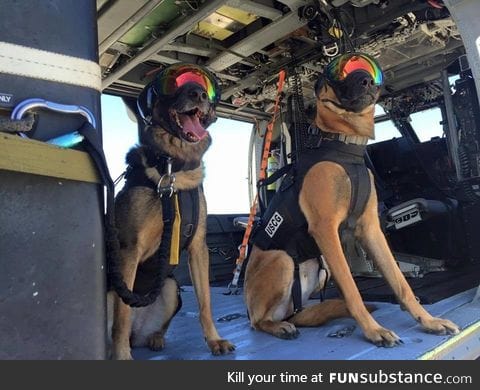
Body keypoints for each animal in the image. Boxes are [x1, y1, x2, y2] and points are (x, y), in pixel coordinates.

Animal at [109, 63, 236, 360]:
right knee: (120, 322)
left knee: (154, 329)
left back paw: (155, 338)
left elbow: (205, 303)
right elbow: (121, 316)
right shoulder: (128, 251)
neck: (173, 170)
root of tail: (137, 332)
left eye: (205, 85)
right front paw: (121, 355)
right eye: (173, 83)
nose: (198, 93)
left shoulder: (199, 248)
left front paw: (214, 340)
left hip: (169, 287)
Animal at [246, 52, 460, 348]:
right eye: (337, 72)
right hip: (283, 260)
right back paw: (278, 327)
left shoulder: (370, 229)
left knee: (294, 315)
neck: (345, 145)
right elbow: (351, 288)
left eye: (368, 68)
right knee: (258, 322)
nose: (366, 80)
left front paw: (428, 321)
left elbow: (400, 283)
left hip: (317, 271)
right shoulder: (326, 230)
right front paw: (373, 330)